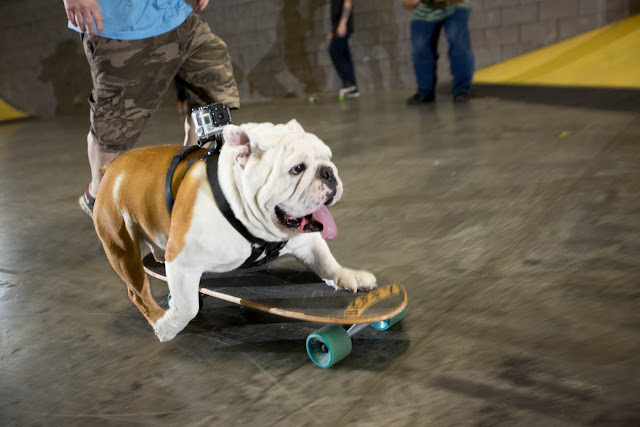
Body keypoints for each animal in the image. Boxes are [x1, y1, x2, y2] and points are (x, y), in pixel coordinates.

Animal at [92, 118, 378, 342]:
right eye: (297, 169)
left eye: (328, 158)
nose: (329, 172)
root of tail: (113, 167)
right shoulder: (182, 261)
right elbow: (188, 306)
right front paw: (169, 325)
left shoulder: (305, 240)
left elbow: (326, 260)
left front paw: (348, 276)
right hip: (121, 248)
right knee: (137, 291)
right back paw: (159, 320)